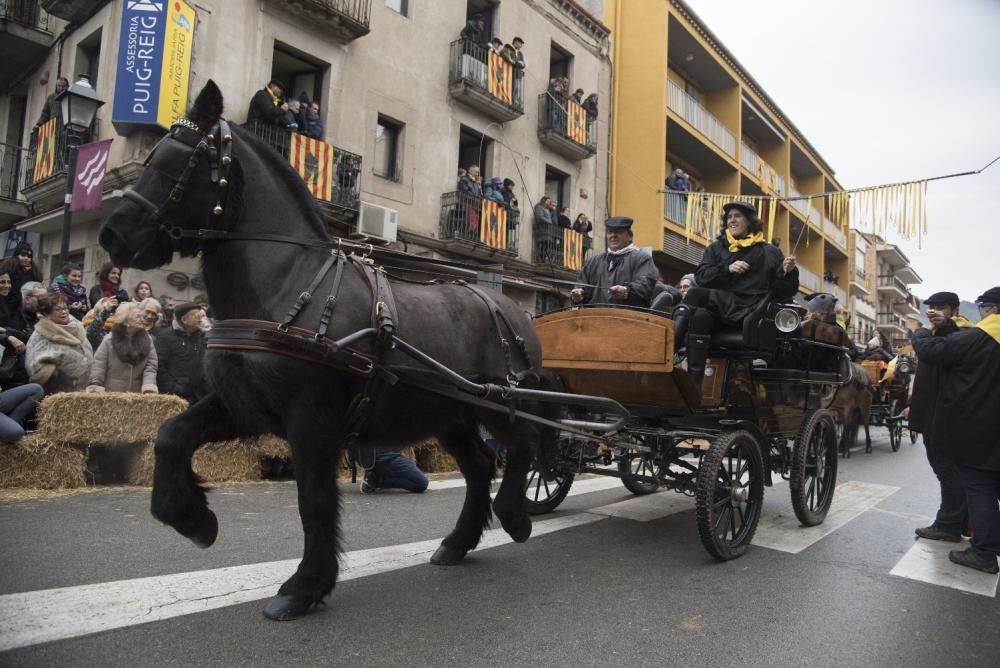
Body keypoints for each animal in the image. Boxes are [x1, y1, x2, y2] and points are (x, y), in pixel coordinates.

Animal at [99, 82, 556, 620]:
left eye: (180, 160)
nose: (113, 235)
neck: (289, 284)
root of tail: (515, 309)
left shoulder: (311, 419)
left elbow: (314, 499)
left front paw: (304, 585)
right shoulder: (243, 405)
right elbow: (171, 436)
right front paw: (193, 518)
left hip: (500, 403)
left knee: (524, 445)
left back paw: (515, 515)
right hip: (451, 414)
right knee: (482, 465)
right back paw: (458, 541)